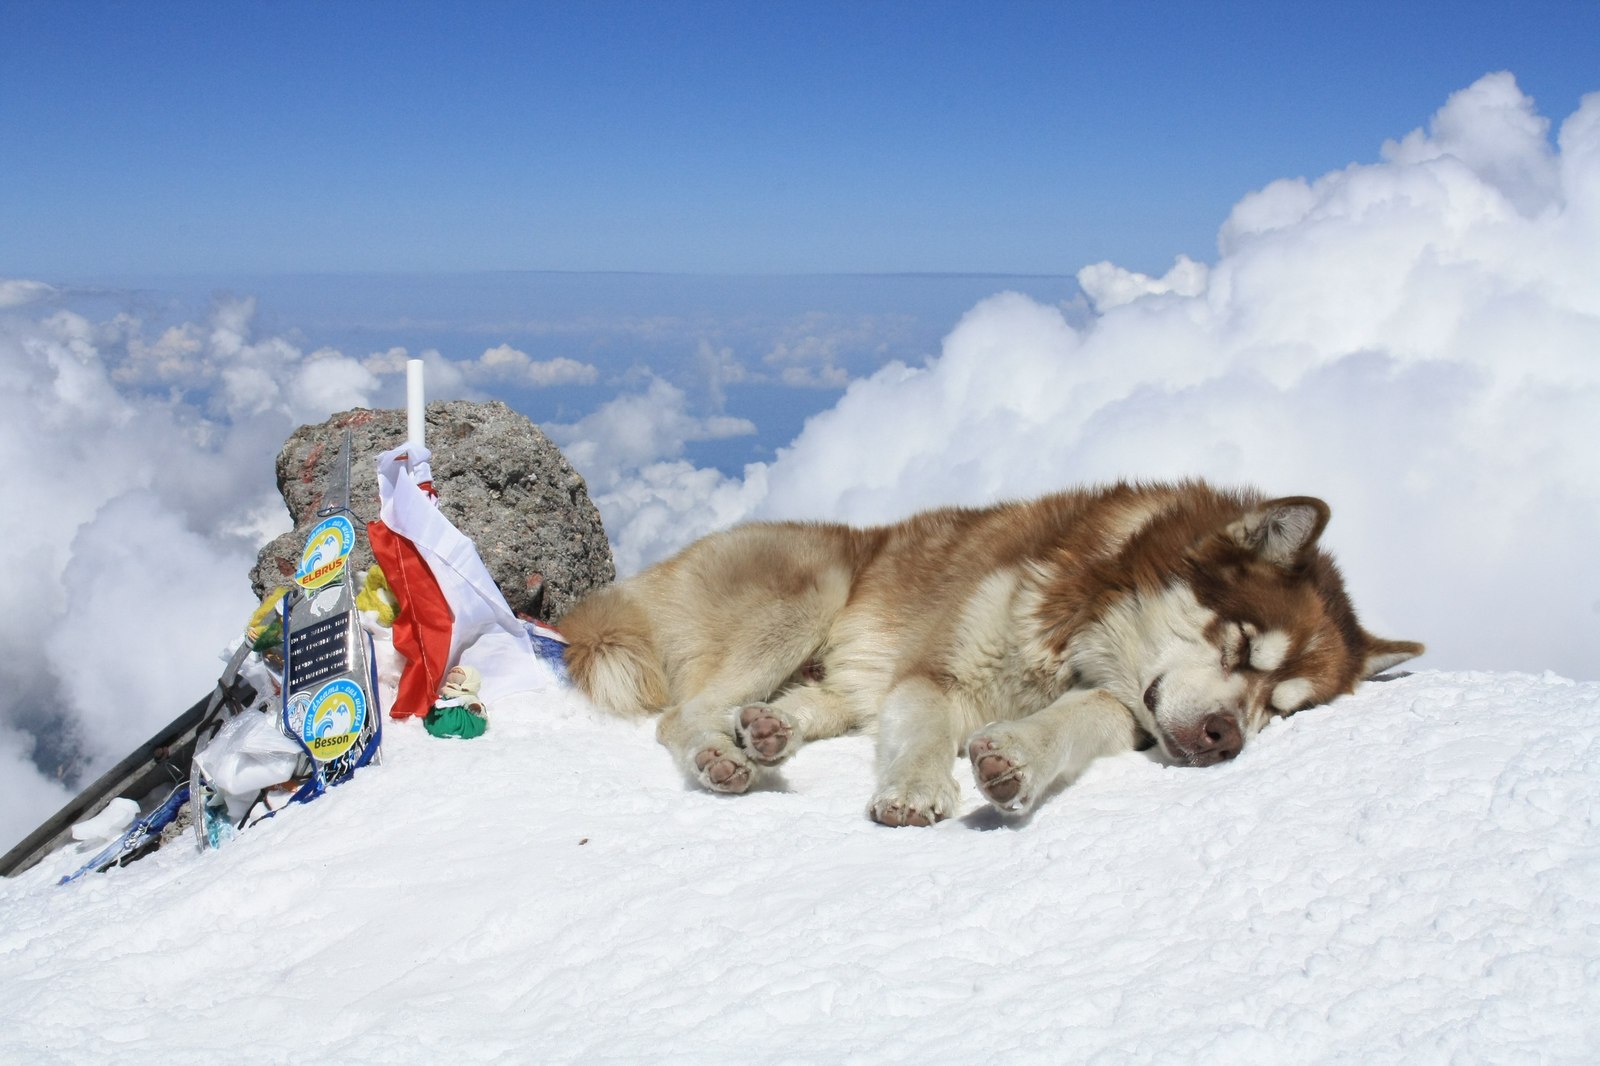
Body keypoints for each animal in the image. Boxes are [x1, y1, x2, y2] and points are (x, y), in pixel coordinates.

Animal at [556, 480, 1420, 819]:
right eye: (1240, 646)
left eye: (1284, 711)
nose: (1224, 738)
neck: (1083, 623)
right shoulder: (938, 673)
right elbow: (927, 732)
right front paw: (915, 789)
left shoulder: (1119, 705)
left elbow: (1067, 727)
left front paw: (1016, 760)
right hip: (811, 588)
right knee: (682, 715)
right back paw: (721, 753)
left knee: (800, 705)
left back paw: (767, 732)